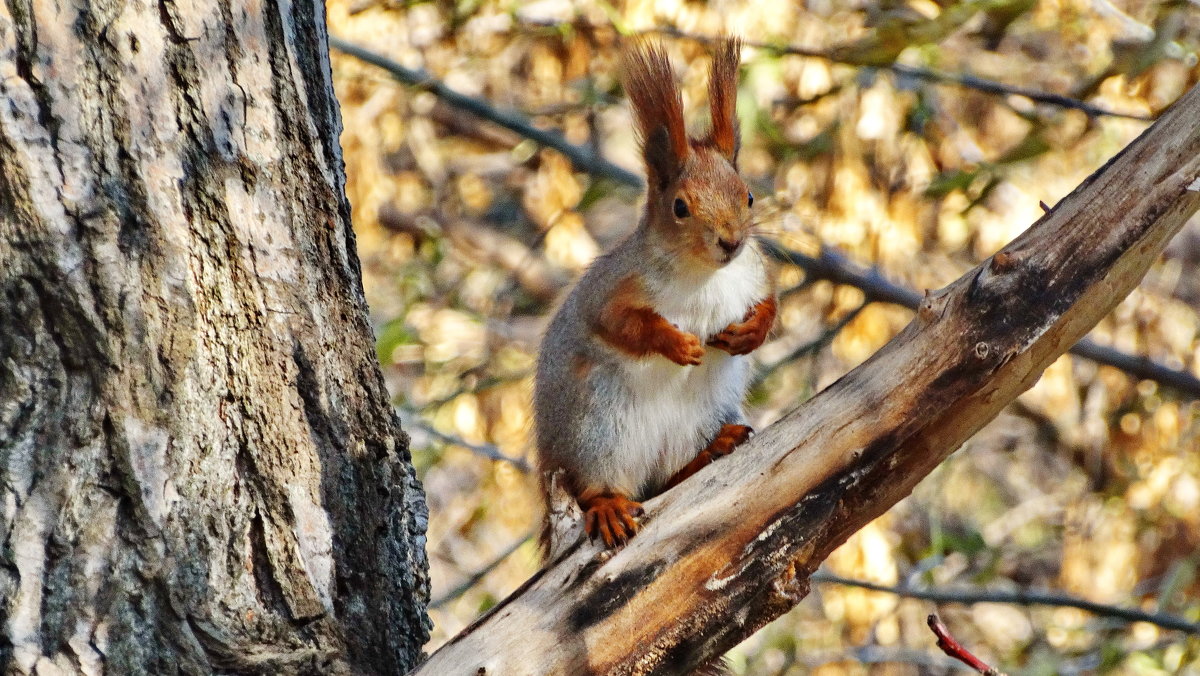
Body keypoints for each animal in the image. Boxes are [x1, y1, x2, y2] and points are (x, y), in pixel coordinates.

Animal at [535, 38, 777, 549]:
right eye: (680, 207)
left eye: (747, 196)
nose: (731, 242)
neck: (706, 274)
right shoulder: (613, 289)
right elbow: (621, 324)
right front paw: (677, 343)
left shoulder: (755, 273)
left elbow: (772, 305)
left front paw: (751, 333)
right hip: (598, 429)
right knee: (597, 489)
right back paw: (609, 506)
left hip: (700, 415)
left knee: (668, 479)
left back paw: (712, 450)